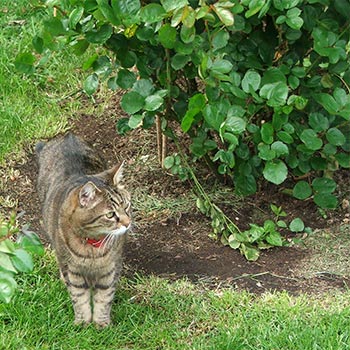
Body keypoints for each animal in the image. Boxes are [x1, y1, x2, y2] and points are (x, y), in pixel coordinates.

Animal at [36, 133, 131, 326]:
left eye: (126, 206)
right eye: (110, 214)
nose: (128, 223)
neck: (93, 244)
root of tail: (65, 136)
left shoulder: (110, 269)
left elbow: (104, 297)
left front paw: (102, 324)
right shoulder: (72, 271)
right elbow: (79, 297)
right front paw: (83, 323)